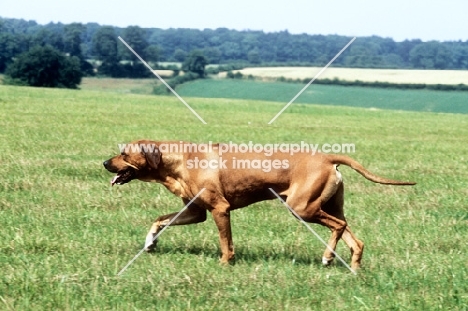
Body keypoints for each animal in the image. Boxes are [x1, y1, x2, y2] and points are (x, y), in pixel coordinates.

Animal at [104, 140, 414, 270]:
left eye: (124, 154)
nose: (105, 162)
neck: (177, 160)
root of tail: (328, 158)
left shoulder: (219, 209)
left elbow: (225, 242)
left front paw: (225, 263)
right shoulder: (195, 212)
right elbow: (159, 220)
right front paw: (150, 243)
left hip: (303, 208)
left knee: (338, 226)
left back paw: (327, 257)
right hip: (327, 206)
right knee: (353, 236)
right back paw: (354, 266)